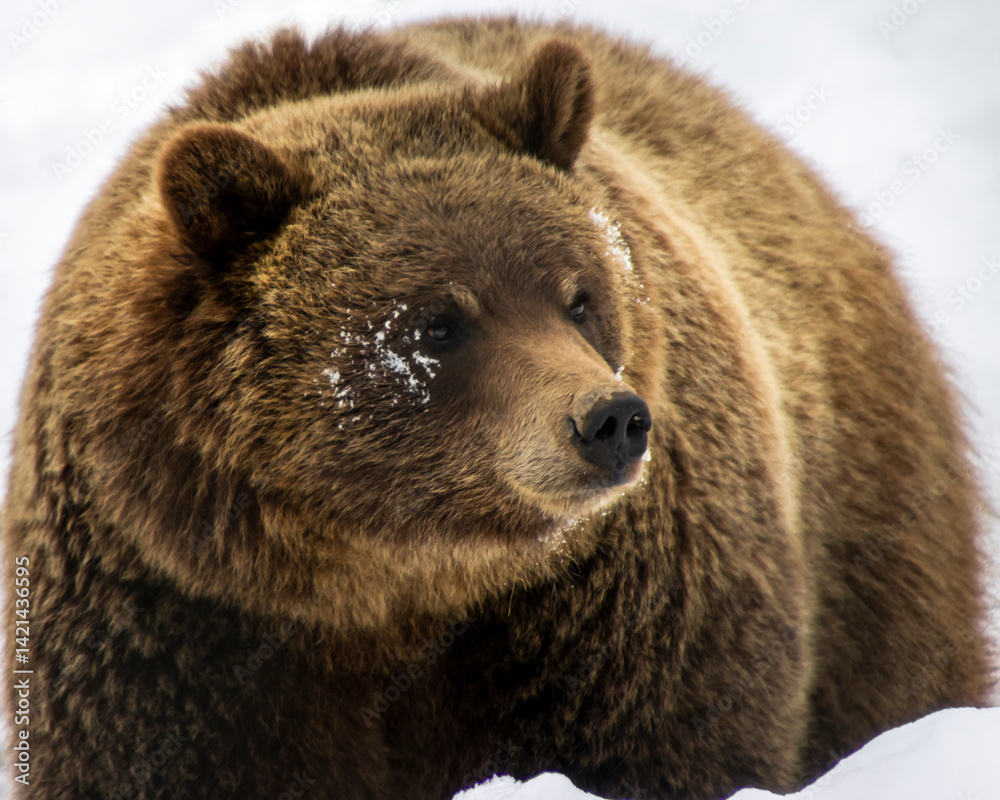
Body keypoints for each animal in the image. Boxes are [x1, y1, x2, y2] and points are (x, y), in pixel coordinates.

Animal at [2, 14, 993, 800]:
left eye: (579, 296)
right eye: (439, 322)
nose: (610, 420)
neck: (386, 586)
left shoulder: (617, 615)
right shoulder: (166, 617)